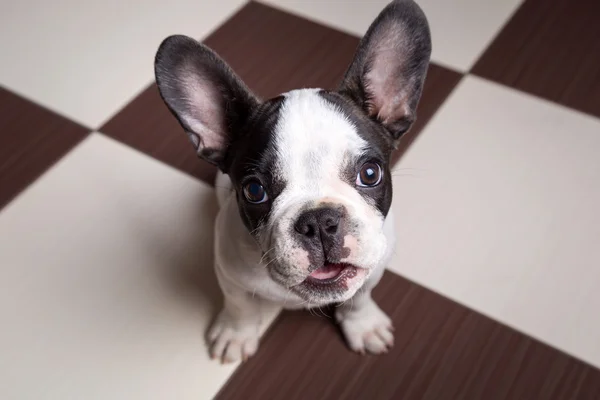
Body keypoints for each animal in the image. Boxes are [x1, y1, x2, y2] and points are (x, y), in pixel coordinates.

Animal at [152, 0, 428, 362]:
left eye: (370, 174)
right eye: (254, 191)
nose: (319, 221)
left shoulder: (373, 267)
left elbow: (359, 297)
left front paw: (363, 325)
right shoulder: (229, 275)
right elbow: (239, 306)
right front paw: (236, 334)